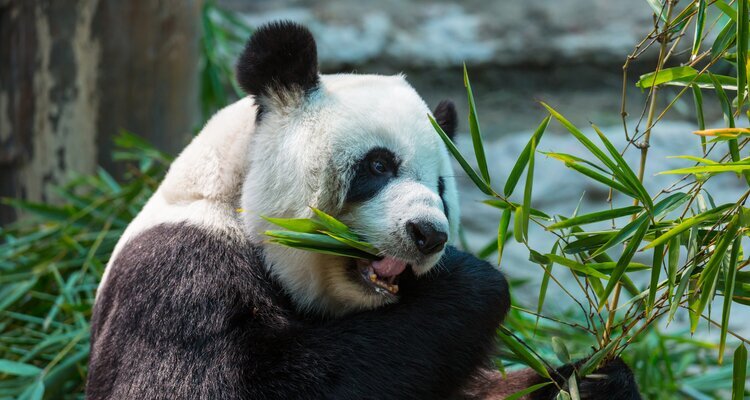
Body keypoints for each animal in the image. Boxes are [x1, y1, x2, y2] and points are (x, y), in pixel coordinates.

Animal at [87, 21, 642, 400]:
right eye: (379, 164)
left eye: (441, 188)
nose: (428, 235)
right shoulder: (179, 273)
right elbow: (213, 385)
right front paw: (474, 284)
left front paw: (598, 379)